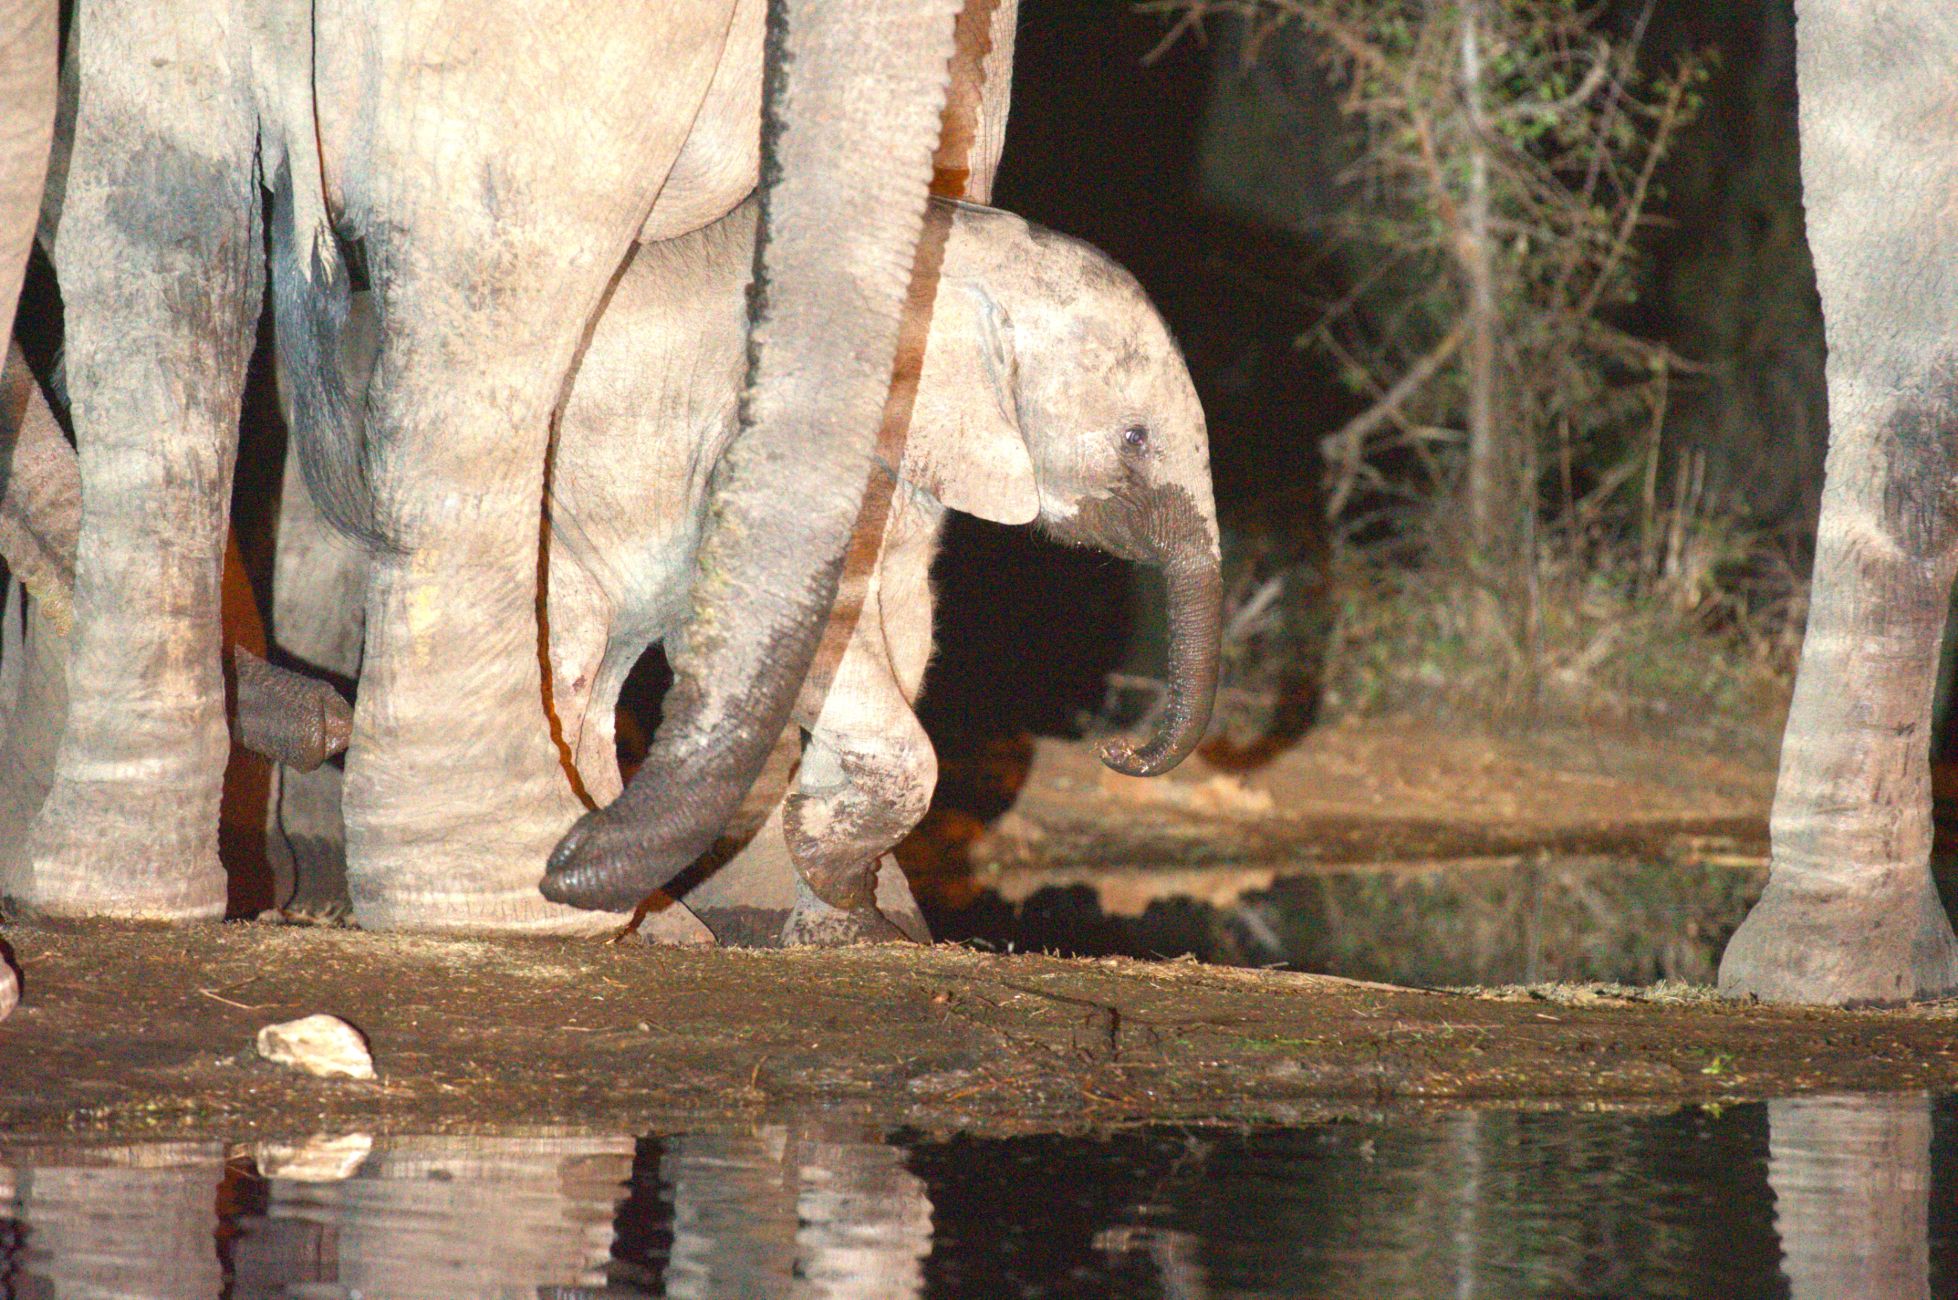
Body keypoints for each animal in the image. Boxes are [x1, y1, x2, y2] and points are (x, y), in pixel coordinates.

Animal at [267, 193, 1221, 943]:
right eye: (1136, 438)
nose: (1120, 750)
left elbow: (900, 624)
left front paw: (846, 909)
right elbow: (778, 623)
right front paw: (839, 884)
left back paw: (645, 916)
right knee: (567, 648)